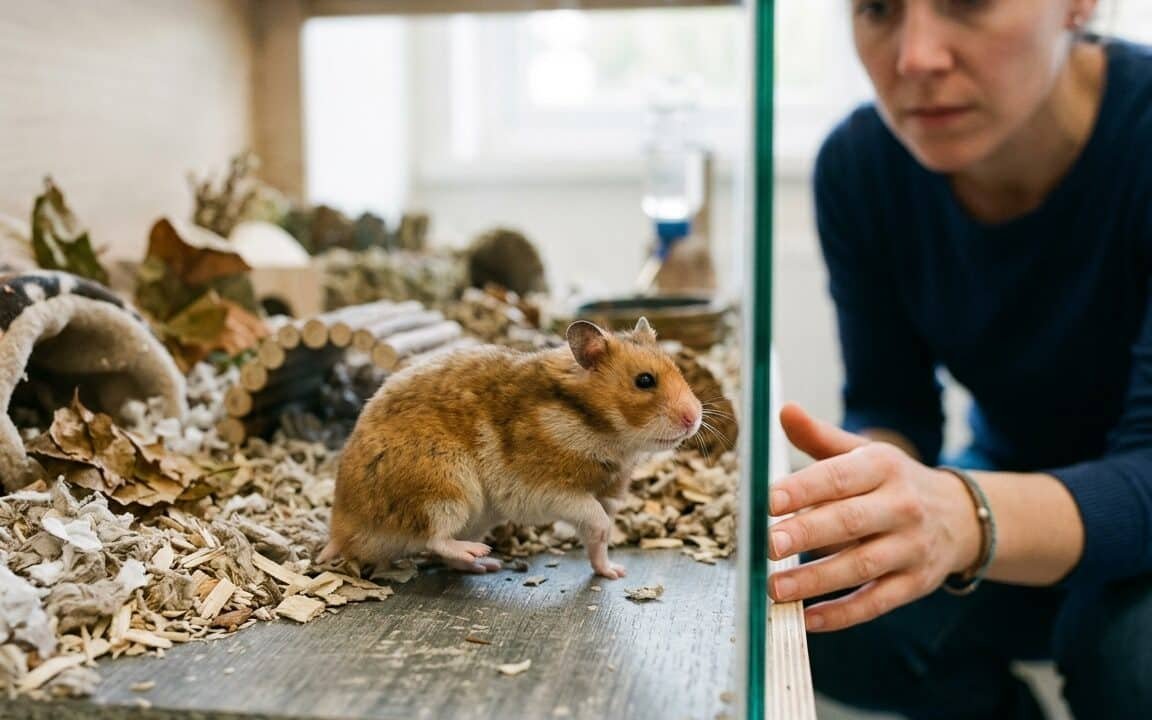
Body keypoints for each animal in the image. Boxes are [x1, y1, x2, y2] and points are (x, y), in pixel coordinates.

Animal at [319, 317, 703, 579]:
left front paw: (614, 572)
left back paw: (484, 564)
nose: (695, 418)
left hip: (471, 512)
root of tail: (341, 528)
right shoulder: (550, 491)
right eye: (644, 380)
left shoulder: (606, 497)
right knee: (434, 539)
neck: (599, 427)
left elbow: (598, 537)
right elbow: (596, 521)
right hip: (445, 488)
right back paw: (480, 554)